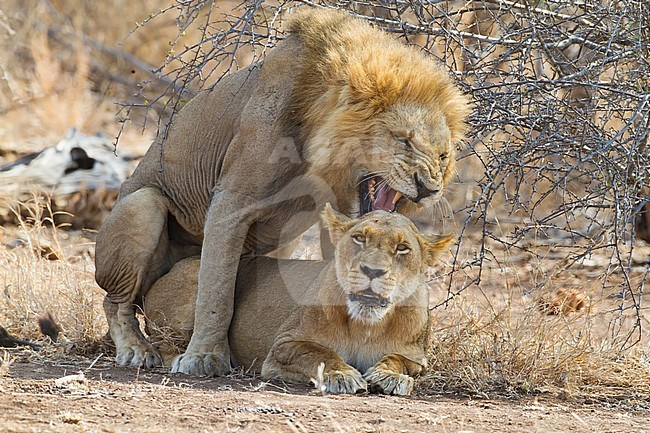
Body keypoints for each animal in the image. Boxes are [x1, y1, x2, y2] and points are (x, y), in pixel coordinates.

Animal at [93, 6, 468, 374]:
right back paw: (136, 350)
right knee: (116, 301)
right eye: (403, 140)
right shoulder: (231, 201)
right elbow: (216, 292)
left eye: (443, 155)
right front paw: (205, 356)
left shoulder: (338, 214)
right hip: (143, 205)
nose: (429, 188)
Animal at [145, 204, 454, 394]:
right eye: (359, 238)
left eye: (402, 248)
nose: (372, 271)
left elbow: (398, 360)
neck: (365, 325)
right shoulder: (283, 347)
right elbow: (318, 354)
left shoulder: (416, 357)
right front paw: (341, 375)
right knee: (164, 342)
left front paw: (390, 377)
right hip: (199, 282)